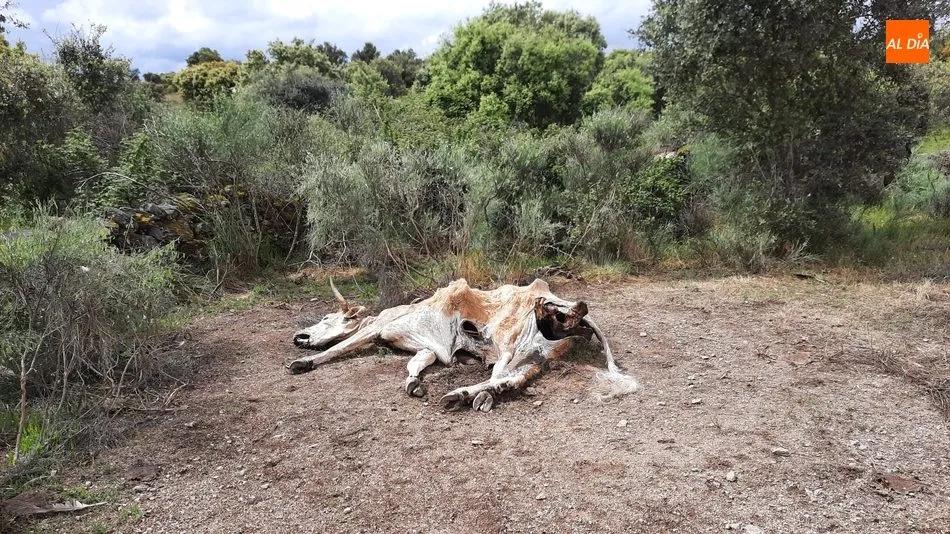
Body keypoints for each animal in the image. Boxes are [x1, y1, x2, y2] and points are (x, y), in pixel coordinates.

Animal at [288, 277, 639, 411]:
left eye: (326, 317)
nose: (298, 337)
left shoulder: (379, 328)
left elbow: (340, 347)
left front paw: (304, 363)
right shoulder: (428, 348)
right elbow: (415, 364)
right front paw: (414, 383)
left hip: (512, 343)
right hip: (535, 356)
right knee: (512, 378)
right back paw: (474, 395)